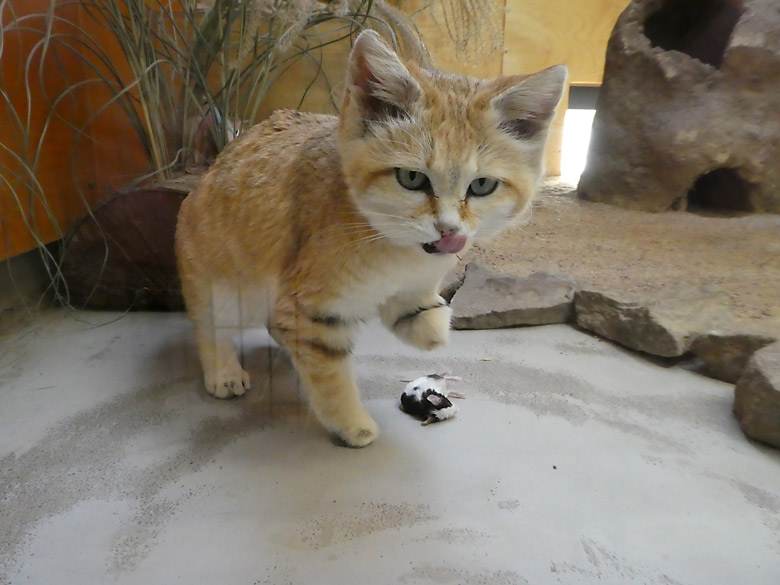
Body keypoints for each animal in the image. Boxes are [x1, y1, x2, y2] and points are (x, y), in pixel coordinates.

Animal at [177, 28, 568, 448]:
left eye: (482, 185)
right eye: (411, 178)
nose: (448, 229)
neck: (396, 249)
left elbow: (416, 311)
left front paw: (430, 327)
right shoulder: (311, 309)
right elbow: (330, 377)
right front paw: (352, 425)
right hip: (219, 286)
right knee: (212, 328)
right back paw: (224, 371)